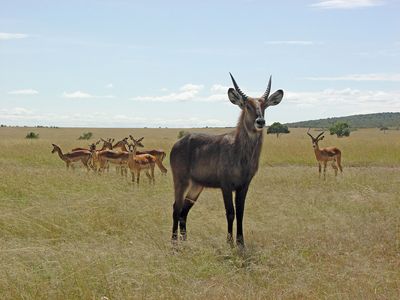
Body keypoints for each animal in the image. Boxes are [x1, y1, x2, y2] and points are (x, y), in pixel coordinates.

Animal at [170, 72, 282, 246]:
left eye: (264, 106)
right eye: (247, 105)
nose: (260, 121)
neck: (240, 152)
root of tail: (177, 143)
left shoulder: (244, 185)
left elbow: (241, 213)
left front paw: (241, 242)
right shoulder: (226, 185)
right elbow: (230, 212)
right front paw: (229, 242)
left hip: (197, 185)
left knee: (184, 210)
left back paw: (185, 239)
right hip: (180, 180)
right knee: (176, 208)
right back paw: (174, 242)